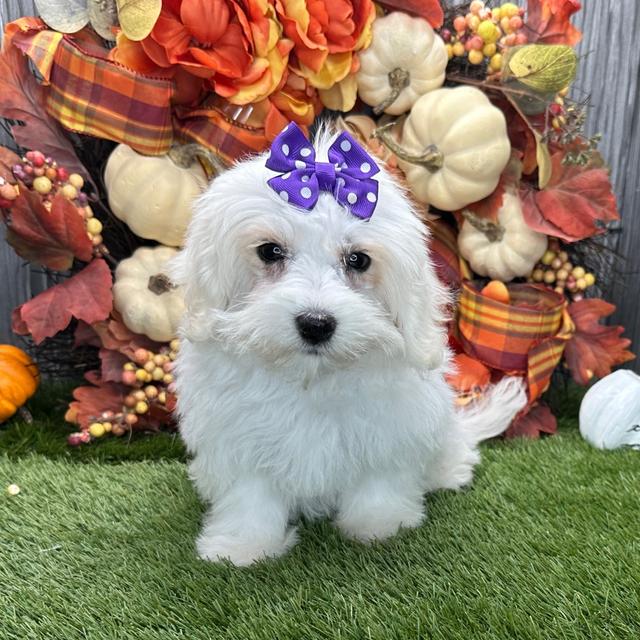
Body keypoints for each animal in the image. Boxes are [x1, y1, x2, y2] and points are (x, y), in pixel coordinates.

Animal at [170, 125, 524, 564]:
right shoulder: (239, 435)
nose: (316, 323)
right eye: (269, 251)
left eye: (358, 260)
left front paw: (380, 525)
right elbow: (250, 493)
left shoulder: (388, 428)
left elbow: (378, 479)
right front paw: (242, 546)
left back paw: (451, 469)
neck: (312, 379)